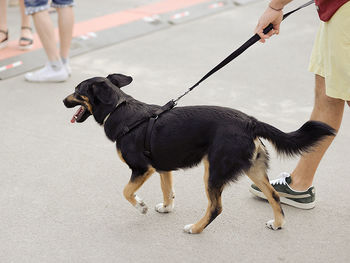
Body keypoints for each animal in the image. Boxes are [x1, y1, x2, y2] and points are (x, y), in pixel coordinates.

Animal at [63, 73, 336, 234]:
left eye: (77, 90)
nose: (63, 101)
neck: (120, 110)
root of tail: (250, 121)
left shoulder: (142, 168)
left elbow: (127, 192)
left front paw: (141, 207)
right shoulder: (162, 168)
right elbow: (167, 190)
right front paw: (166, 207)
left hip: (213, 171)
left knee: (216, 208)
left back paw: (195, 228)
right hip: (253, 169)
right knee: (274, 196)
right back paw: (278, 223)